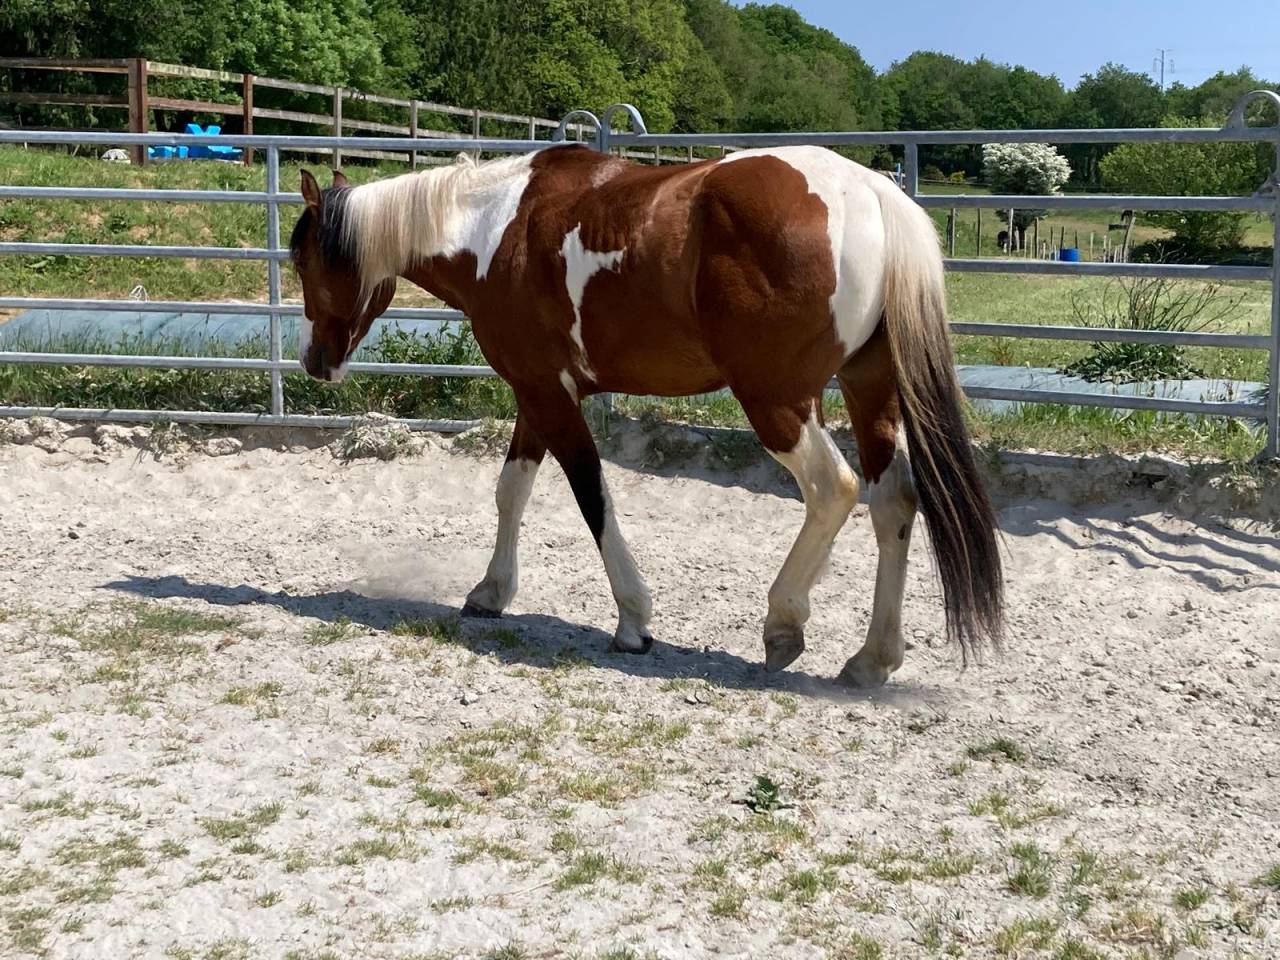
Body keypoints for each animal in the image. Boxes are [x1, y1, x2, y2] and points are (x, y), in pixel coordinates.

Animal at [289, 142, 1003, 687]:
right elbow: (511, 491)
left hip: (776, 401)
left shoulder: (551, 397)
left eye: (303, 260)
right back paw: (872, 659)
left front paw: (632, 619)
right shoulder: (535, 393)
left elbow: (592, 497)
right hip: (868, 390)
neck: (494, 230)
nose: (314, 361)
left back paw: (783, 623)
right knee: (893, 502)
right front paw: (490, 592)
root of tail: (873, 195)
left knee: (836, 490)